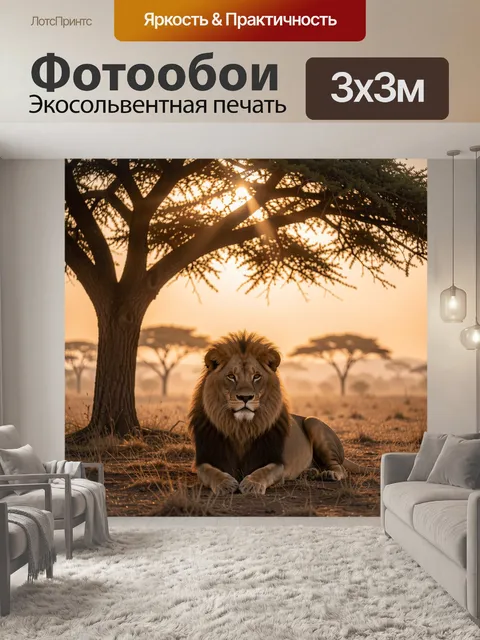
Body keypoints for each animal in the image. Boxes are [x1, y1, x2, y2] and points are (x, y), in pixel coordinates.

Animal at [188, 330, 370, 495]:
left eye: (256, 376)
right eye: (231, 376)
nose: (245, 397)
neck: (241, 428)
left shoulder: (276, 462)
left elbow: (264, 471)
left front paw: (252, 484)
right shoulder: (204, 459)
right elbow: (210, 472)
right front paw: (225, 484)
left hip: (313, 422)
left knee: (340, 468)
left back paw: (328, 474)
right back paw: (309, 472)